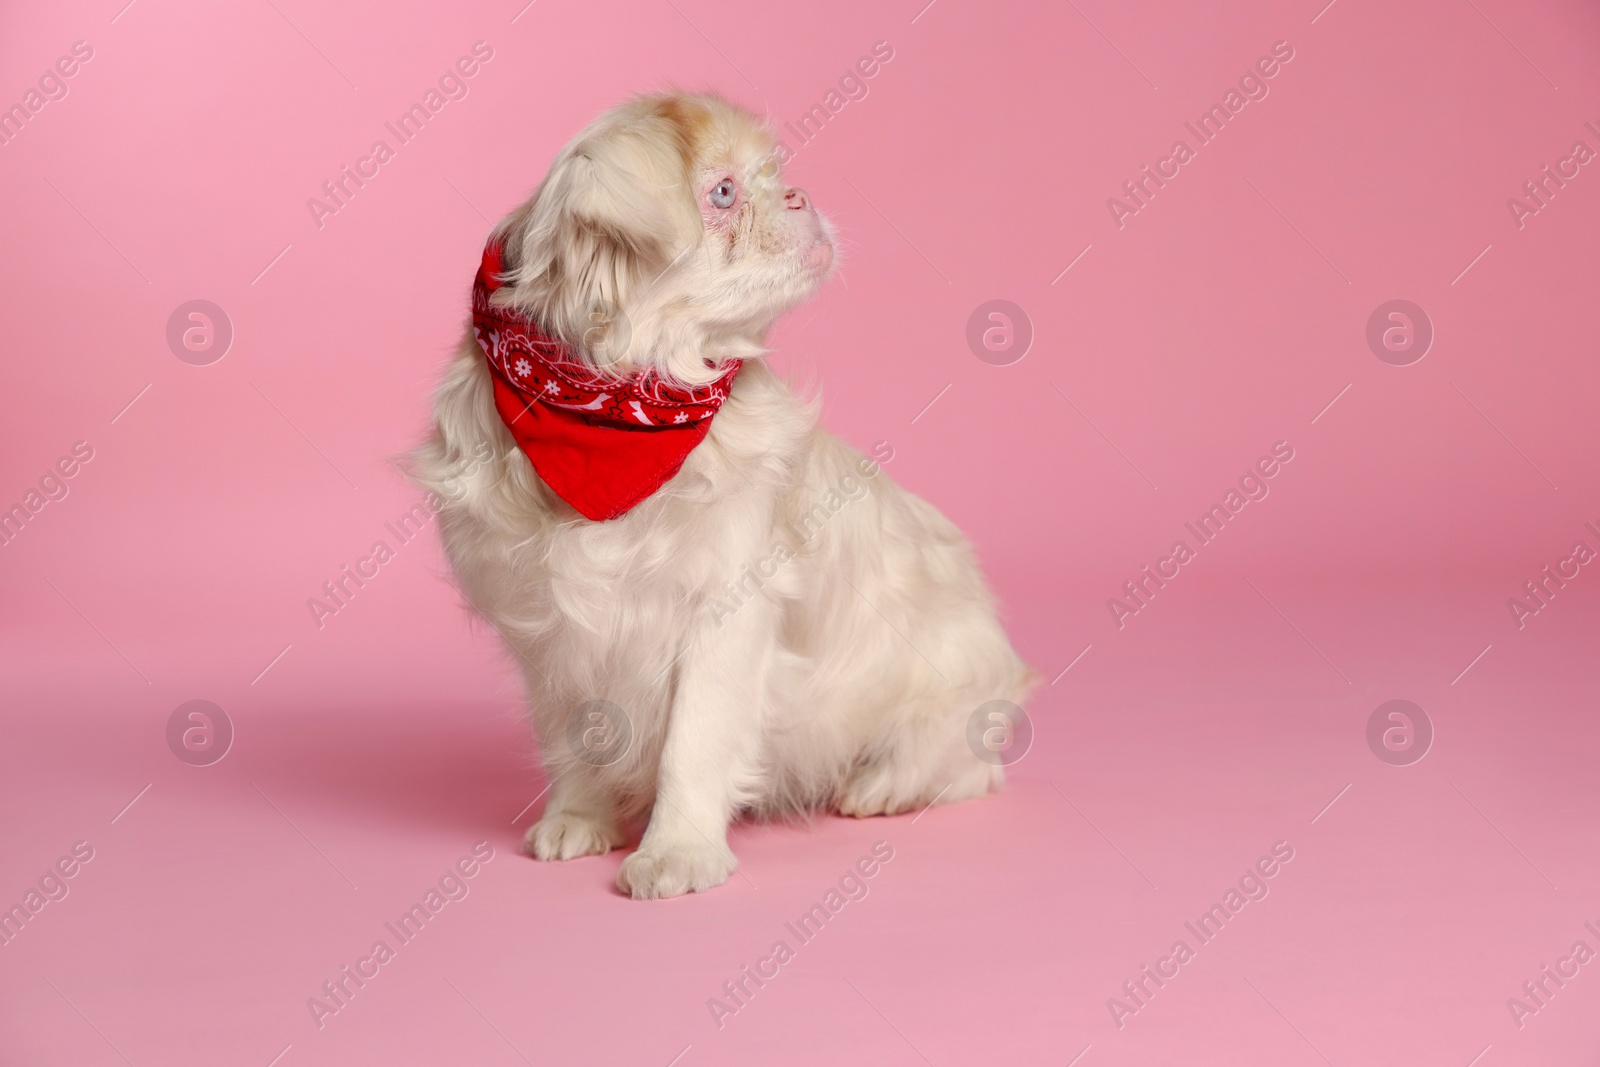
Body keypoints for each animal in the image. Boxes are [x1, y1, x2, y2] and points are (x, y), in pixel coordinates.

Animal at [412, 91, 1030, 895]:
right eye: (725, 193)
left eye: (771, 176)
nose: (799, 195)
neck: (616, 403)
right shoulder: (549, 630)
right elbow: (573, 736)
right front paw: (579, 817)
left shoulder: (723, 614)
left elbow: (693, 742)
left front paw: (676, 851)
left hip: (954, 689)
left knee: (964, 764)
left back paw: (884, 785)